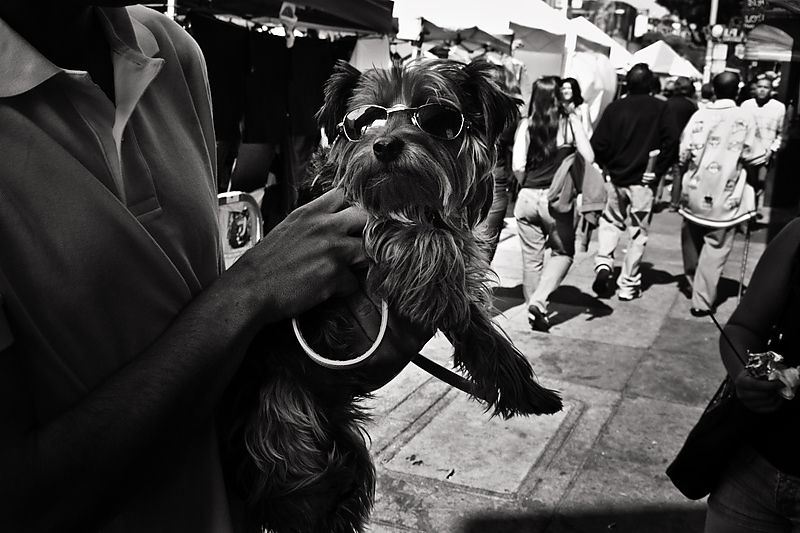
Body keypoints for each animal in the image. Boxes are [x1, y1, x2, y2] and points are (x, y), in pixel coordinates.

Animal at [222, 58, 563, 533]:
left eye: (436, 117)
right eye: (365, 119)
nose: (383, 145)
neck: (406, 195)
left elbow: (479, 326)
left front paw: (520, 386)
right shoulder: (358, 217)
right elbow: (420, 240)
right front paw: (439, 281)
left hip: (336, 445)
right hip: (283, 425)